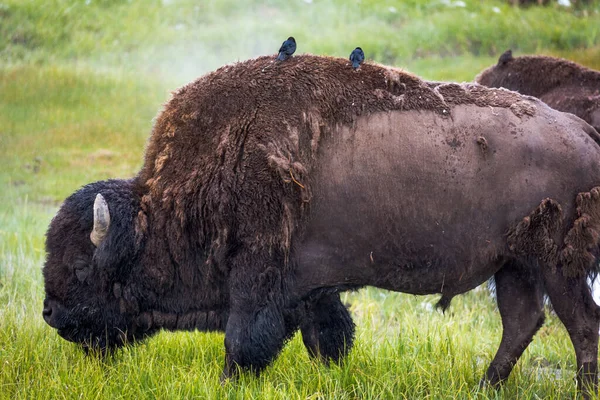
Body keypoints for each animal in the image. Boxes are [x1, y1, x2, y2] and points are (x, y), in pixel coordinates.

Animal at [42, 54, 600, 396]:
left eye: (81, 265)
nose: (50, 314)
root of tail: (581, 129)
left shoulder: (258, 276)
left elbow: (243, 341)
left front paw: (226, 385)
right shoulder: (309, 288)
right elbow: (326, 337)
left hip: (557, 266)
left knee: (581, 325)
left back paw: (576, 389)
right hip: (514, 265)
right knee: (522, 321)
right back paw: (483, 386)